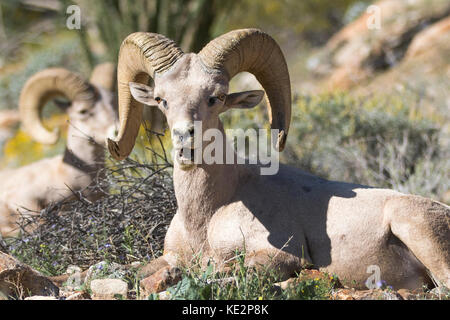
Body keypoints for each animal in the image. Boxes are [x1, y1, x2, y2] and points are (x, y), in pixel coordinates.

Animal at [107, 30, 448, 290]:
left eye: (215, 97)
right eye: (161, 99)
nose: (184, 141)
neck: (207, 214)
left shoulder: (278, 256)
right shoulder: (170, 256)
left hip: (416, 229)